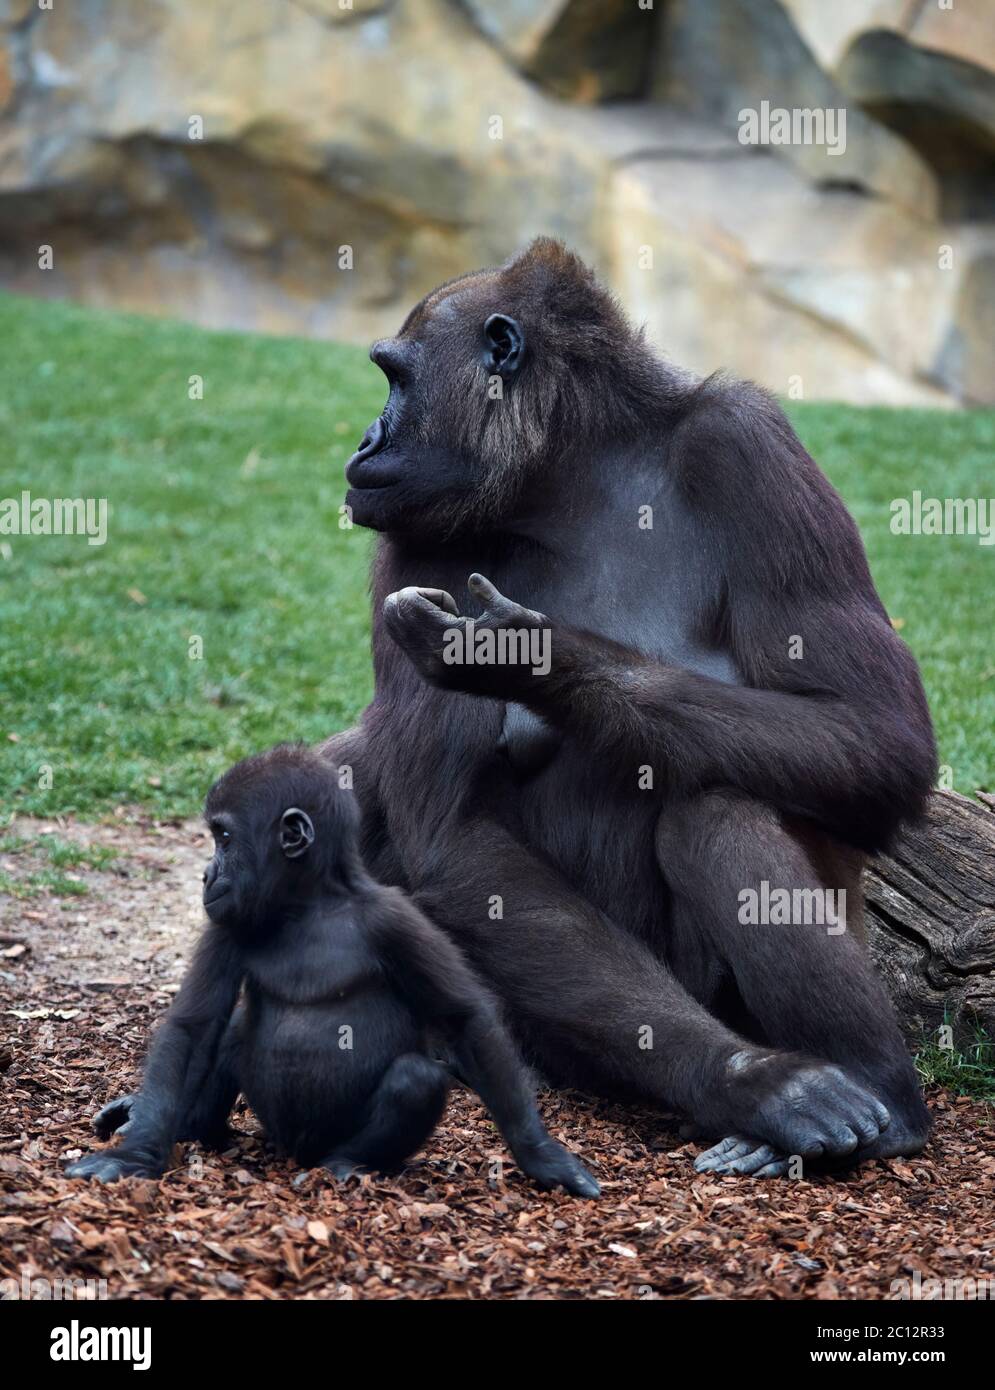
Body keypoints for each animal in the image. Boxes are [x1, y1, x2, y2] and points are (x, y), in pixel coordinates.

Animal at [71, 745, 597, 1200]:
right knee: (234, 1028)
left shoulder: (395, 917)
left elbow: (464, 1017)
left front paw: (539, 1153)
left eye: (224, 838)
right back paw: (197, 1126)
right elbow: (194, 1027)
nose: (206, 875)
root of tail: (294, 1152)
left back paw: (349, 1162)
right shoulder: (228, 923)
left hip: (326, 1141)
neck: (307, 905)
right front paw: (137, 1151)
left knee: (414, 1080)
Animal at [332, 239, 933, 1173]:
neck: (575, 472)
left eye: (395, 380)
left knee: (718, 808)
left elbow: (877, 733)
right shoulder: (419, 534)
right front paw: (752, 1083)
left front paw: (538, 658)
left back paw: (881, 1093)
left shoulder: (748, 442)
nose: (365, 442)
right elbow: (451, 832)